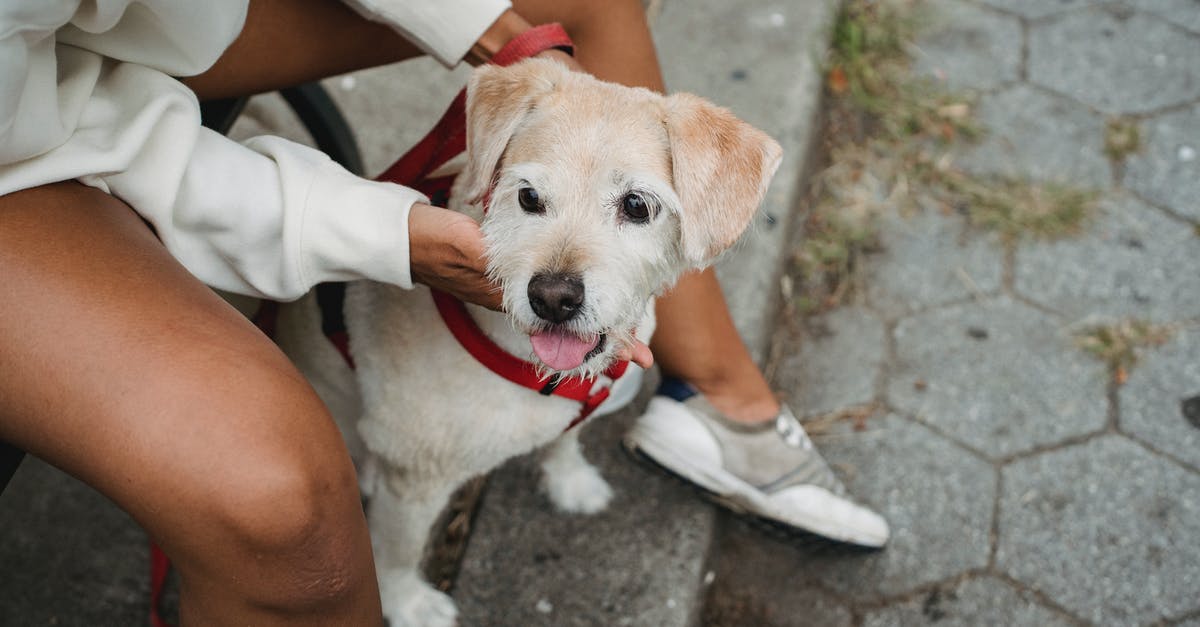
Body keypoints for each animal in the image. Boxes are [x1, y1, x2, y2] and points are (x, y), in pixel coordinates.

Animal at [274, 57, 777, 619]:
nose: (553, 297)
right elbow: (399, 553)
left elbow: (566, 440)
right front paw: (408, 605)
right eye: (529, 197)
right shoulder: (416, 477)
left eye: (637, 206)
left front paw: (571, 483)